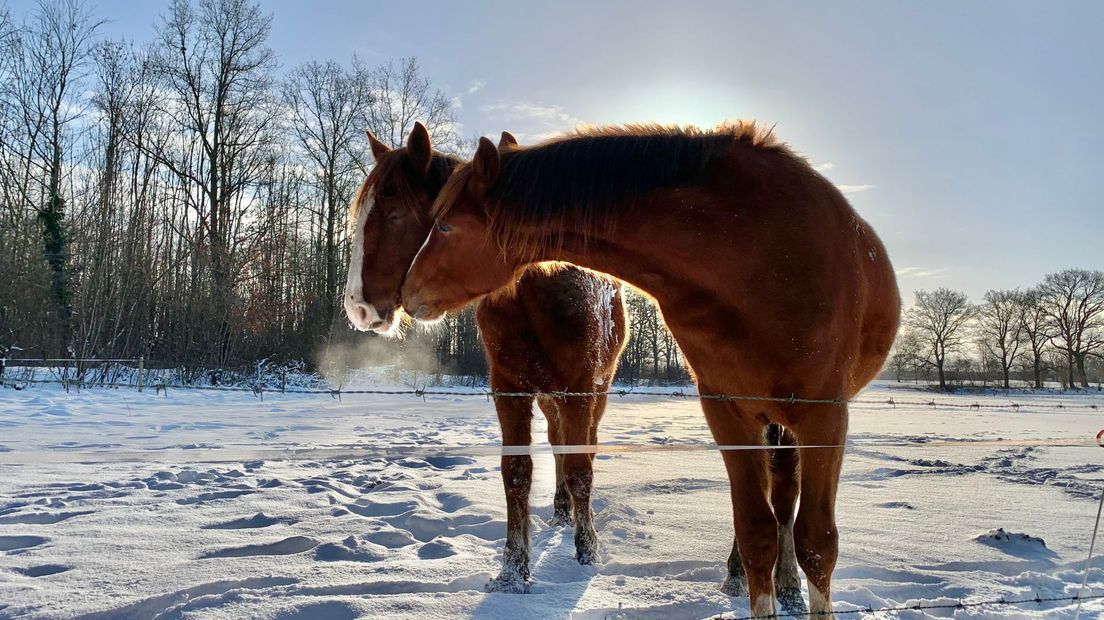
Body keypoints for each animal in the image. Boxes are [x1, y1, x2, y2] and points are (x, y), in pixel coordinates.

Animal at [340, 123, 627, 591]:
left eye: (396, 215)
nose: (358, 308)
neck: (534, 292)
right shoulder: (509, 390)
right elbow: (517, 472)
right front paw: (512, 571)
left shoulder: (580, 389)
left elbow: (580, 468)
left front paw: (588, 552)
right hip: (548, 397)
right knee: (557, 445)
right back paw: (561, 511)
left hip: (592, 393)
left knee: (580, 450)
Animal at [401, 121, 900, 613]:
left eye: (444, 224)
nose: (407, 293)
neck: (761, 255)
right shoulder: (726, 411)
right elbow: (755, 532)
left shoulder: (824, 416)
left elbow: (816, 542)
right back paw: (737, 575)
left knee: (784, 498)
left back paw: (788, 588)